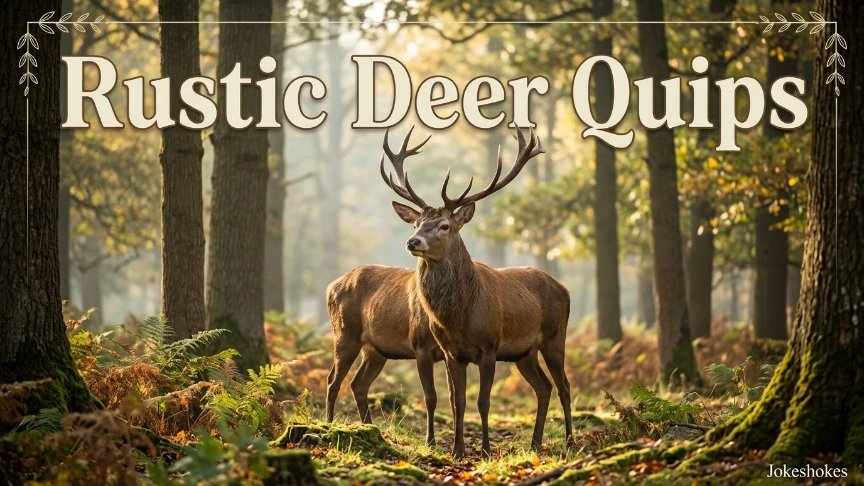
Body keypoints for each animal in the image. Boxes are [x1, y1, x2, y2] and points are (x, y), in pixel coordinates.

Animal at [325, 128, 571, 453]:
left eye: (443, 225)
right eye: (416, 223)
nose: (413, 241)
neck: (459, 318)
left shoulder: (488, 347)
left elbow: (480, 401)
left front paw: (483, 448)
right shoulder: (441, 350)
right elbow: (451, 401)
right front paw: (452, 448)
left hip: (552, 338)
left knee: (561, 386)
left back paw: (564, 440)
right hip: (350, 335)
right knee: (340, 381)